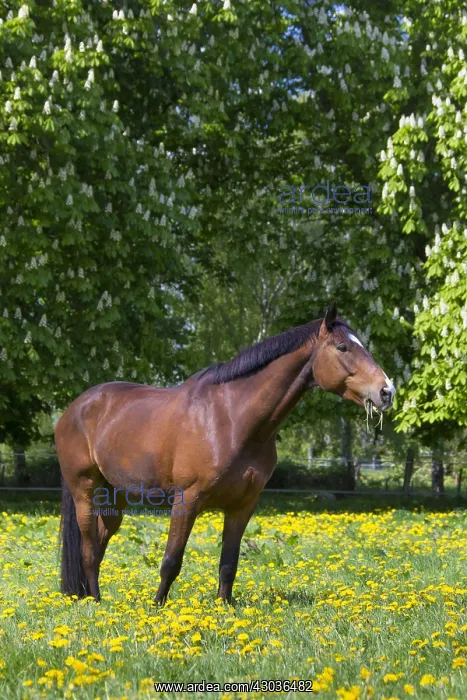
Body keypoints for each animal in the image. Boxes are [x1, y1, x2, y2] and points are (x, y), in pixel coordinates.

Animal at [55, 303, 395, 604]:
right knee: (88, 550)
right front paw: (157, 608)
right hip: (85, 492)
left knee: (100, 543)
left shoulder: (243, 506)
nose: (387, 391)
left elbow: (229, 563)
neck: (231, 418)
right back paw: (96, 602)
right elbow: (171, 561)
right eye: (342, 347)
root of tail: (74, 409)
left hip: (115, 499)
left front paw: (224, 608)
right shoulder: (186, 501)